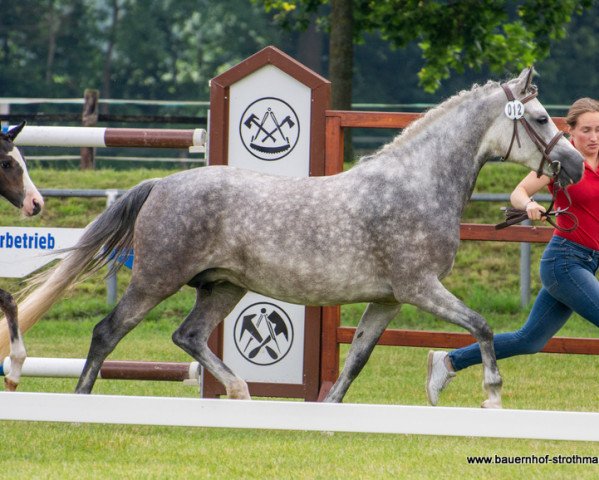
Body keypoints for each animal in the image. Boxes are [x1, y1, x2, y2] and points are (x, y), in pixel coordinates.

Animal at [15, 69, 584, 406]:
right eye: (539, 118)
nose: (576, 165)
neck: (416, 184)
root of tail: (163, 183)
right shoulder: (420, 288)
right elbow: (483, 327)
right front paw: (492, 397)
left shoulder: (389, 300)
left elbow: (355, 362)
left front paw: (328, 413)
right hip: (157, 279)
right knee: (107, 332)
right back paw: (82, 401)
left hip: (223, 286)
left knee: (188, 336)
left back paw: (240, 391)